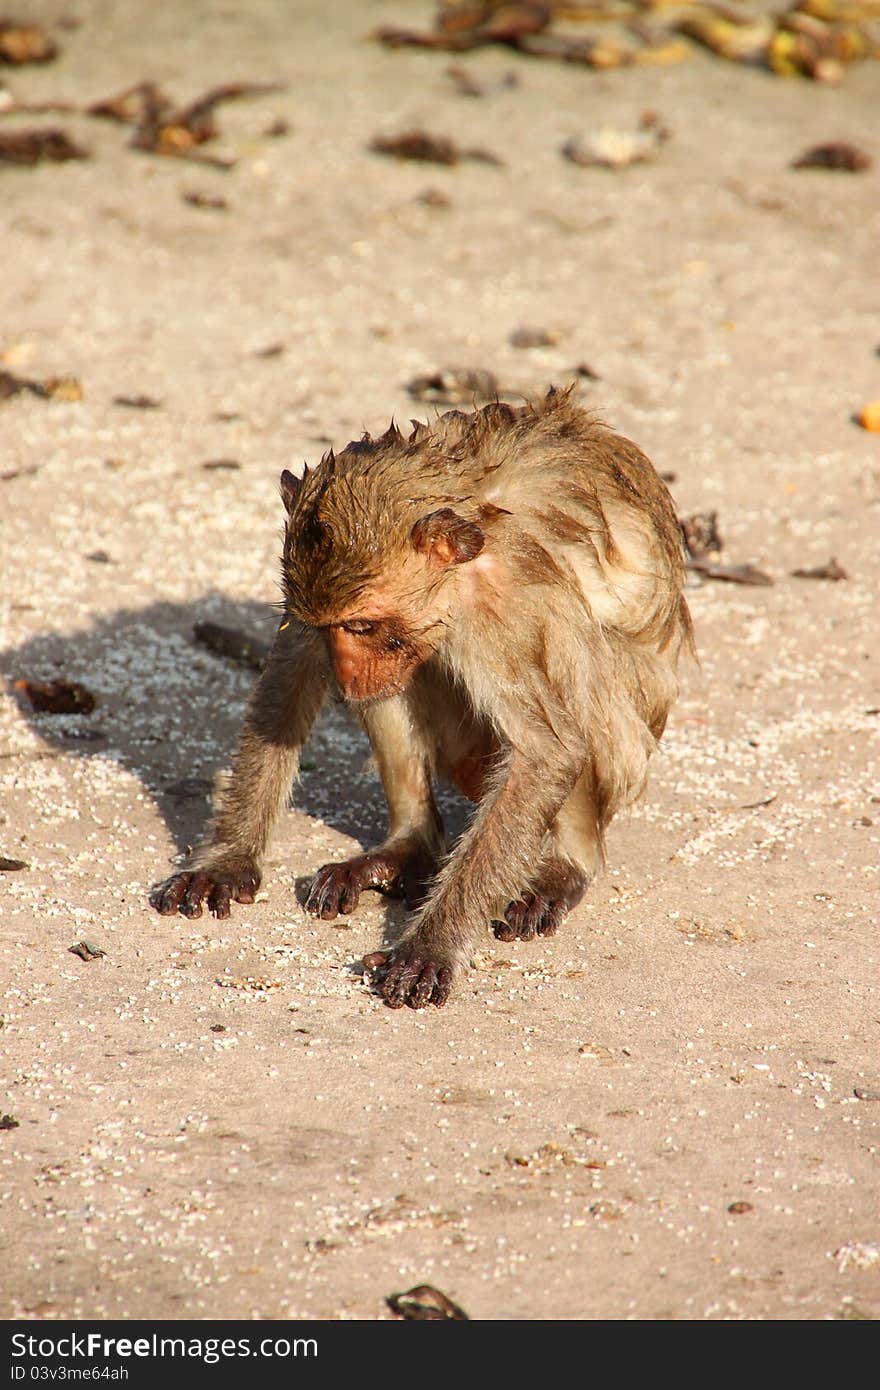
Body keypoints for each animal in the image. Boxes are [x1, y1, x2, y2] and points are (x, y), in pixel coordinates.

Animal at [154, 391, 697, 1011]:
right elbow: (289, 677)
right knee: (400, 687)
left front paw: (431, 945)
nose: (346, 673)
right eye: (332, 628)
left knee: (581, 660)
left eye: (363, 625)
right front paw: (227, 857)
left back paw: (567, 864)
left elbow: (548, 752)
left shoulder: (503, 611)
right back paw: (407, 847)